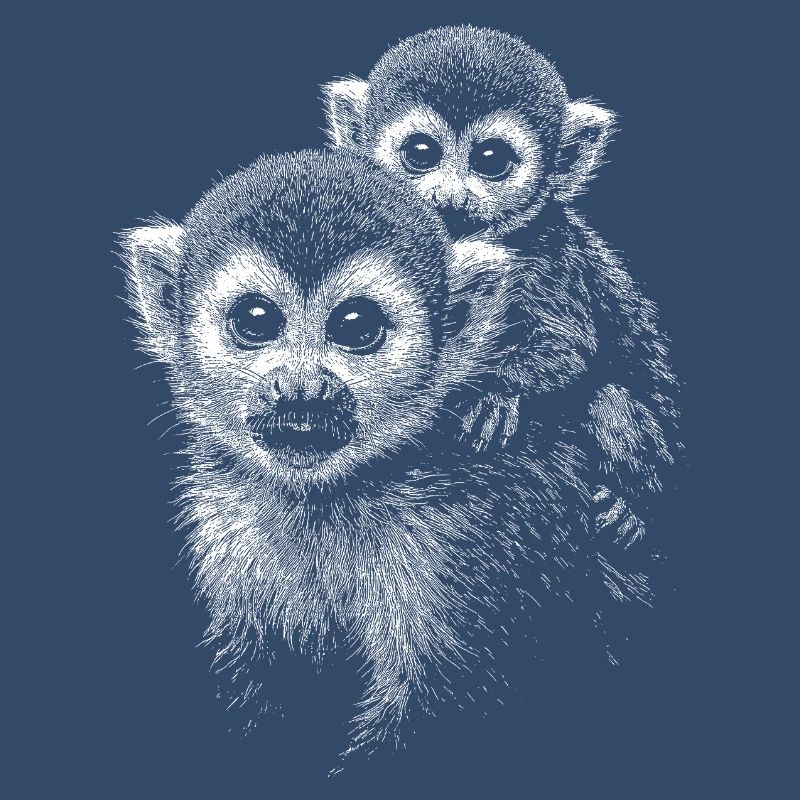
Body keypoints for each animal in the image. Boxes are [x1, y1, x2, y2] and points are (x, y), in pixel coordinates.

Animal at [119, 149, 653, 762]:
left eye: (356, 326)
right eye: (256, 320)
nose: (301, 388)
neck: (329, 497)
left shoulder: (472, 532)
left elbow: (441, 706)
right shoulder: (230, 519)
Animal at [322, 25, 681, 546]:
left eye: (491, 160)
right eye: (420, 154)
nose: (451, 198)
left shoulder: (546, 252)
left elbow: (567, 347)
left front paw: (494, 394)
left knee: (608, 399)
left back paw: (632, 509)